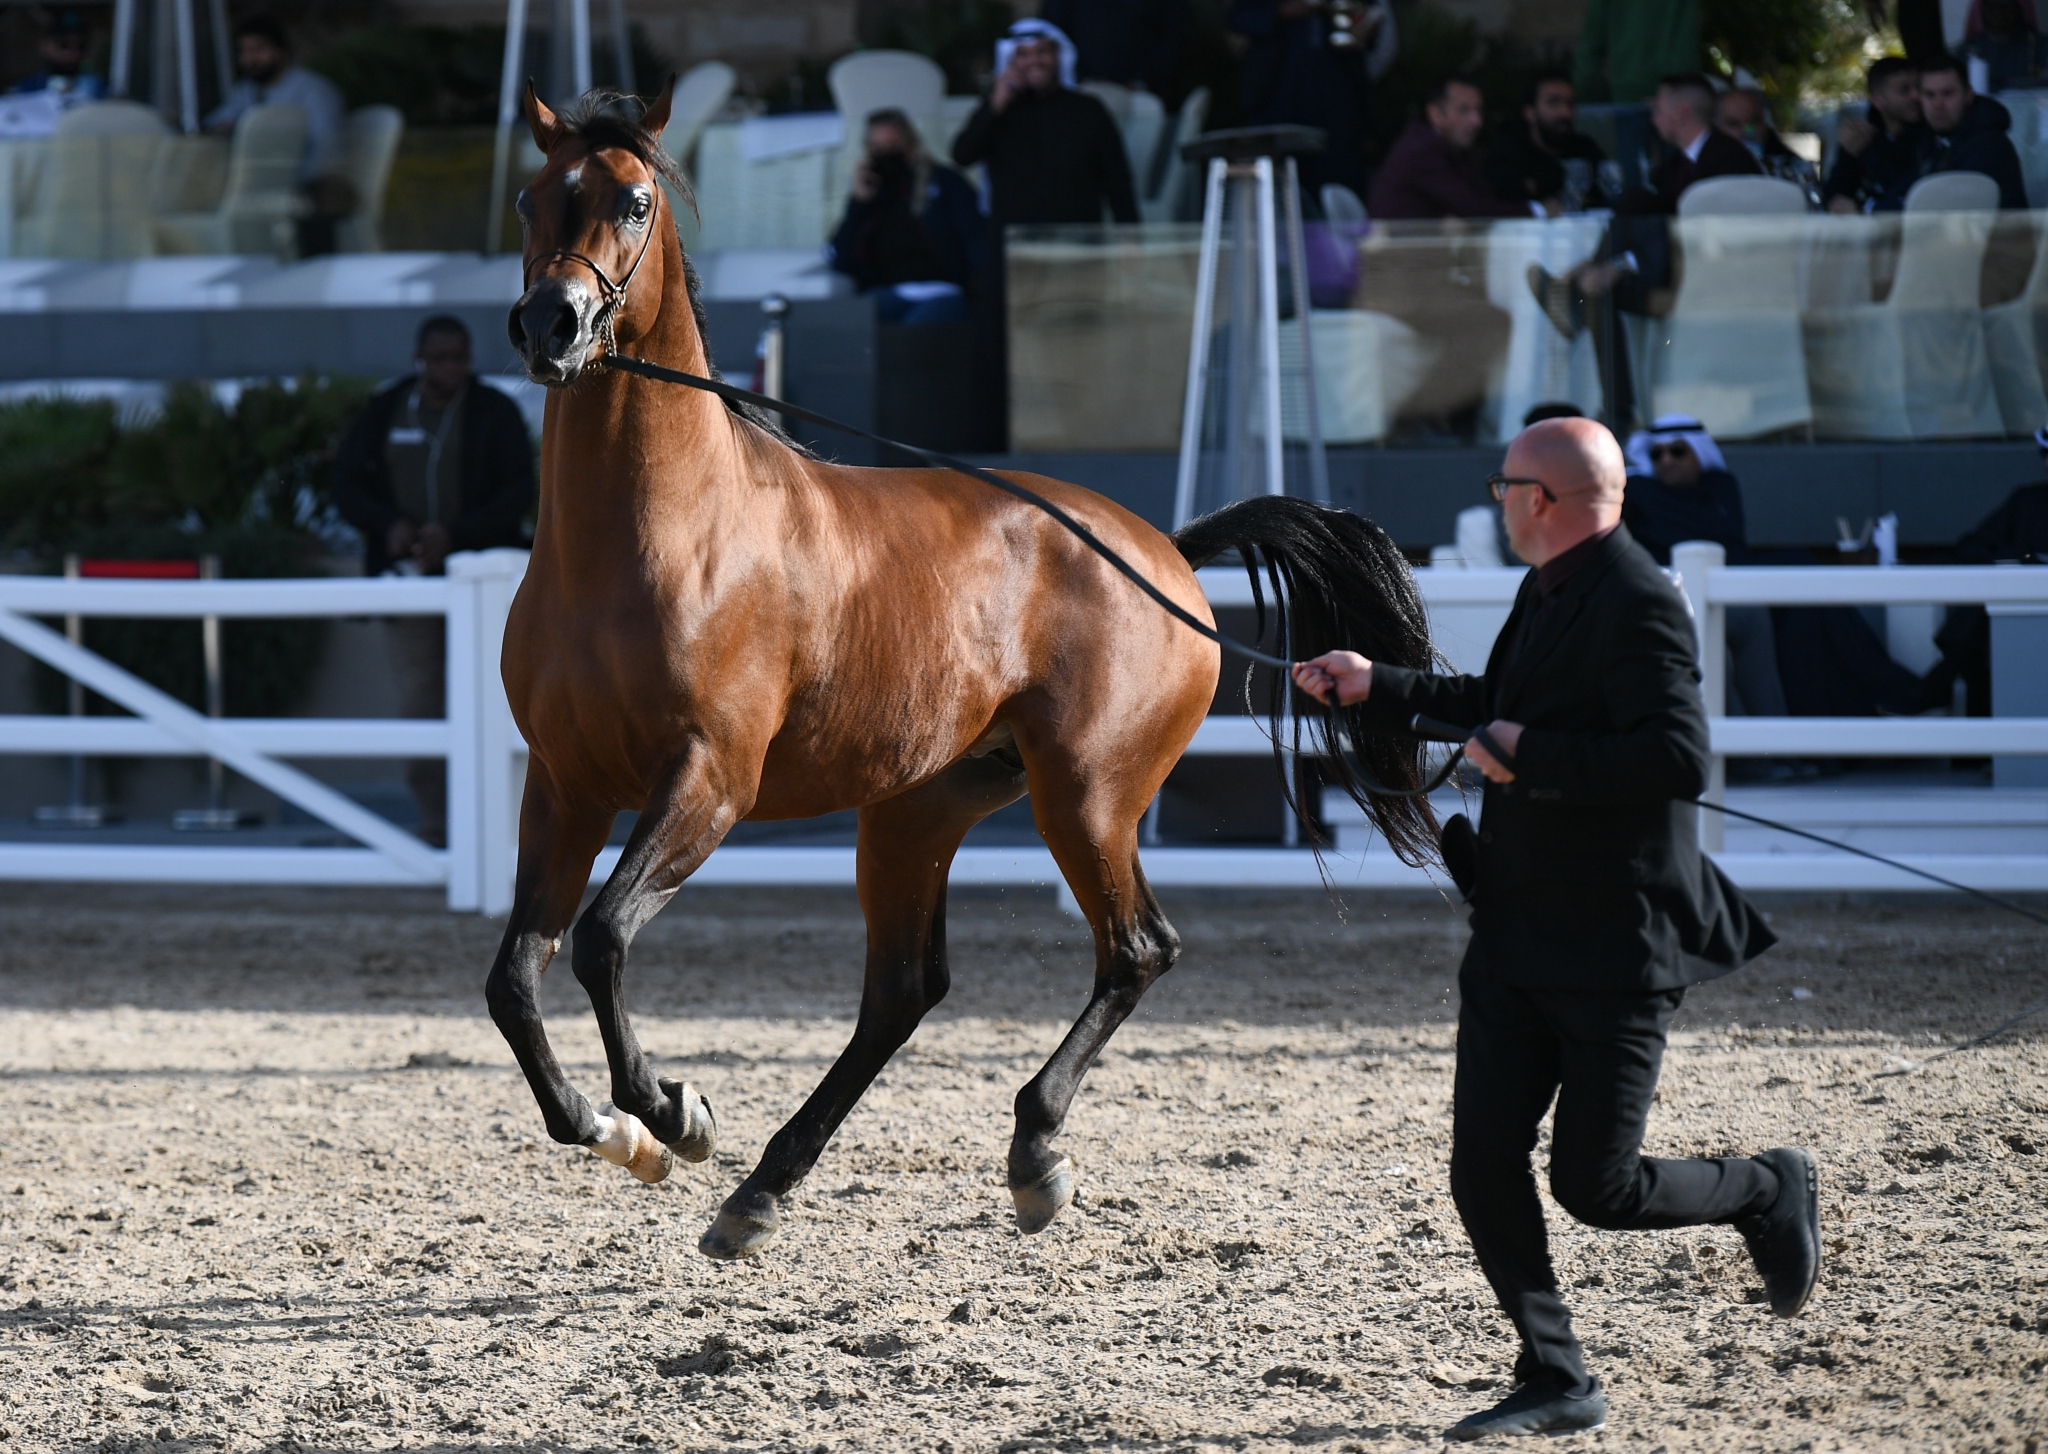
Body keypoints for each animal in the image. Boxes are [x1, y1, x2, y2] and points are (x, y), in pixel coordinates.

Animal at [491, 80, 1439, 1261]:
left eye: (631, 199)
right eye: (530, 196)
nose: (550, 325)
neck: (660, 537)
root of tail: (1166, 549)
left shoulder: (709, 781)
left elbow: (602, 938)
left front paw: (671, 1113)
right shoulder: (564, 785)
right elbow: (516, 975)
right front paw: (611, 1128)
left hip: (1086, 798)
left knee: (1137, 949)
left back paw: (1033, 1155)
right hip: (917, 807)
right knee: (904, 991)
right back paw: (763, 1191)